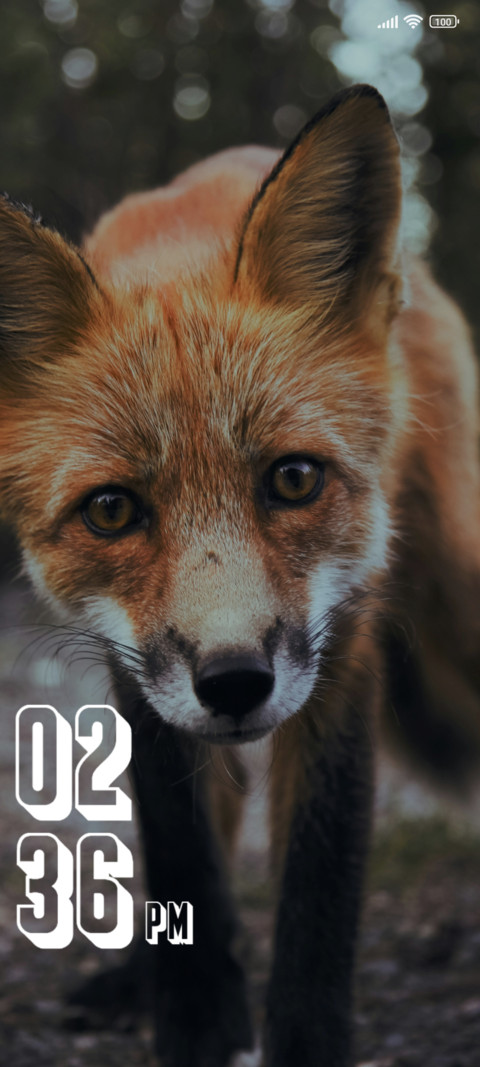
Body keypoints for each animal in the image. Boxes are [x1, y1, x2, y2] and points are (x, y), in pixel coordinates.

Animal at [1, 83, 480, 1067]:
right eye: (112, 510)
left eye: (293, 479)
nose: (233, 683)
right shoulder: (134, 664)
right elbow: (181, 845)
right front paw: (194, 1021)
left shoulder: (344, 642)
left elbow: (320, 875)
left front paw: (303, 1041)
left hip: (459, 589)